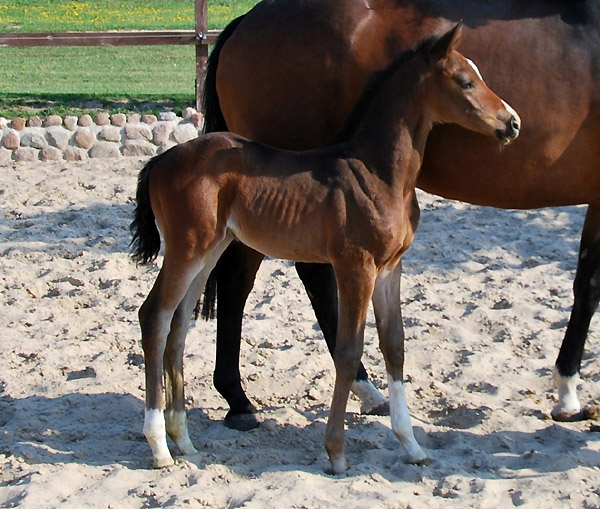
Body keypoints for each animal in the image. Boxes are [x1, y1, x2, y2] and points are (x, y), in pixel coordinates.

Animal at [132, 25, 520, 472]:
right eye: (465, 81)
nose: (512, 122)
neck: (378, 172)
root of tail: (159, 162)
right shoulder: (355, 266)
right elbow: (349, 351)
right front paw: (336, 452)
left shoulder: (391, 268)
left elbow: (396, 346)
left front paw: (412, 446)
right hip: (186, 249)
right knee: (155, 317)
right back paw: (159, 446)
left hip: (210, 249)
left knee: (179, 324)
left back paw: (183, 440)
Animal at [200, 0, 600, 428]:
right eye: (466, 81)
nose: (513, 122)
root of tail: (246, 21)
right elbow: (589, 287)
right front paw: (568, 393)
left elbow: (586, 283)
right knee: (245, 277)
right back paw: (242, 398)